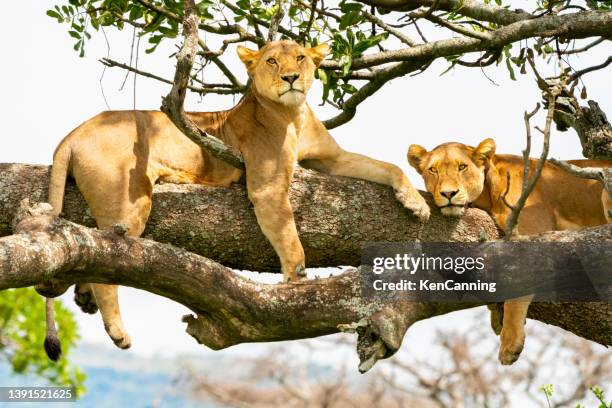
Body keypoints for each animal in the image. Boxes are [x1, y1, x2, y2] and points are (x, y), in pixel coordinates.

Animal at [39, 39, 430, 358]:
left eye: (300, 58)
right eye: (272, 61)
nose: (291, 78)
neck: (294, 113)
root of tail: (73, 133)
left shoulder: (332, 158)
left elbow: (388, 165)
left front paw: (417, 204)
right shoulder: (267, 187)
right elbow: (291, 242)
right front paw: (296, 286)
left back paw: (84, 296)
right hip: (130, 200)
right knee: (108, 262)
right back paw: (117, 330)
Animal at [406, 139, 608, 364]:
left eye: (462, 167)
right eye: (433, 170)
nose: (448, 194)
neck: (489, 193)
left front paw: (510, 343)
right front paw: (496, 315)